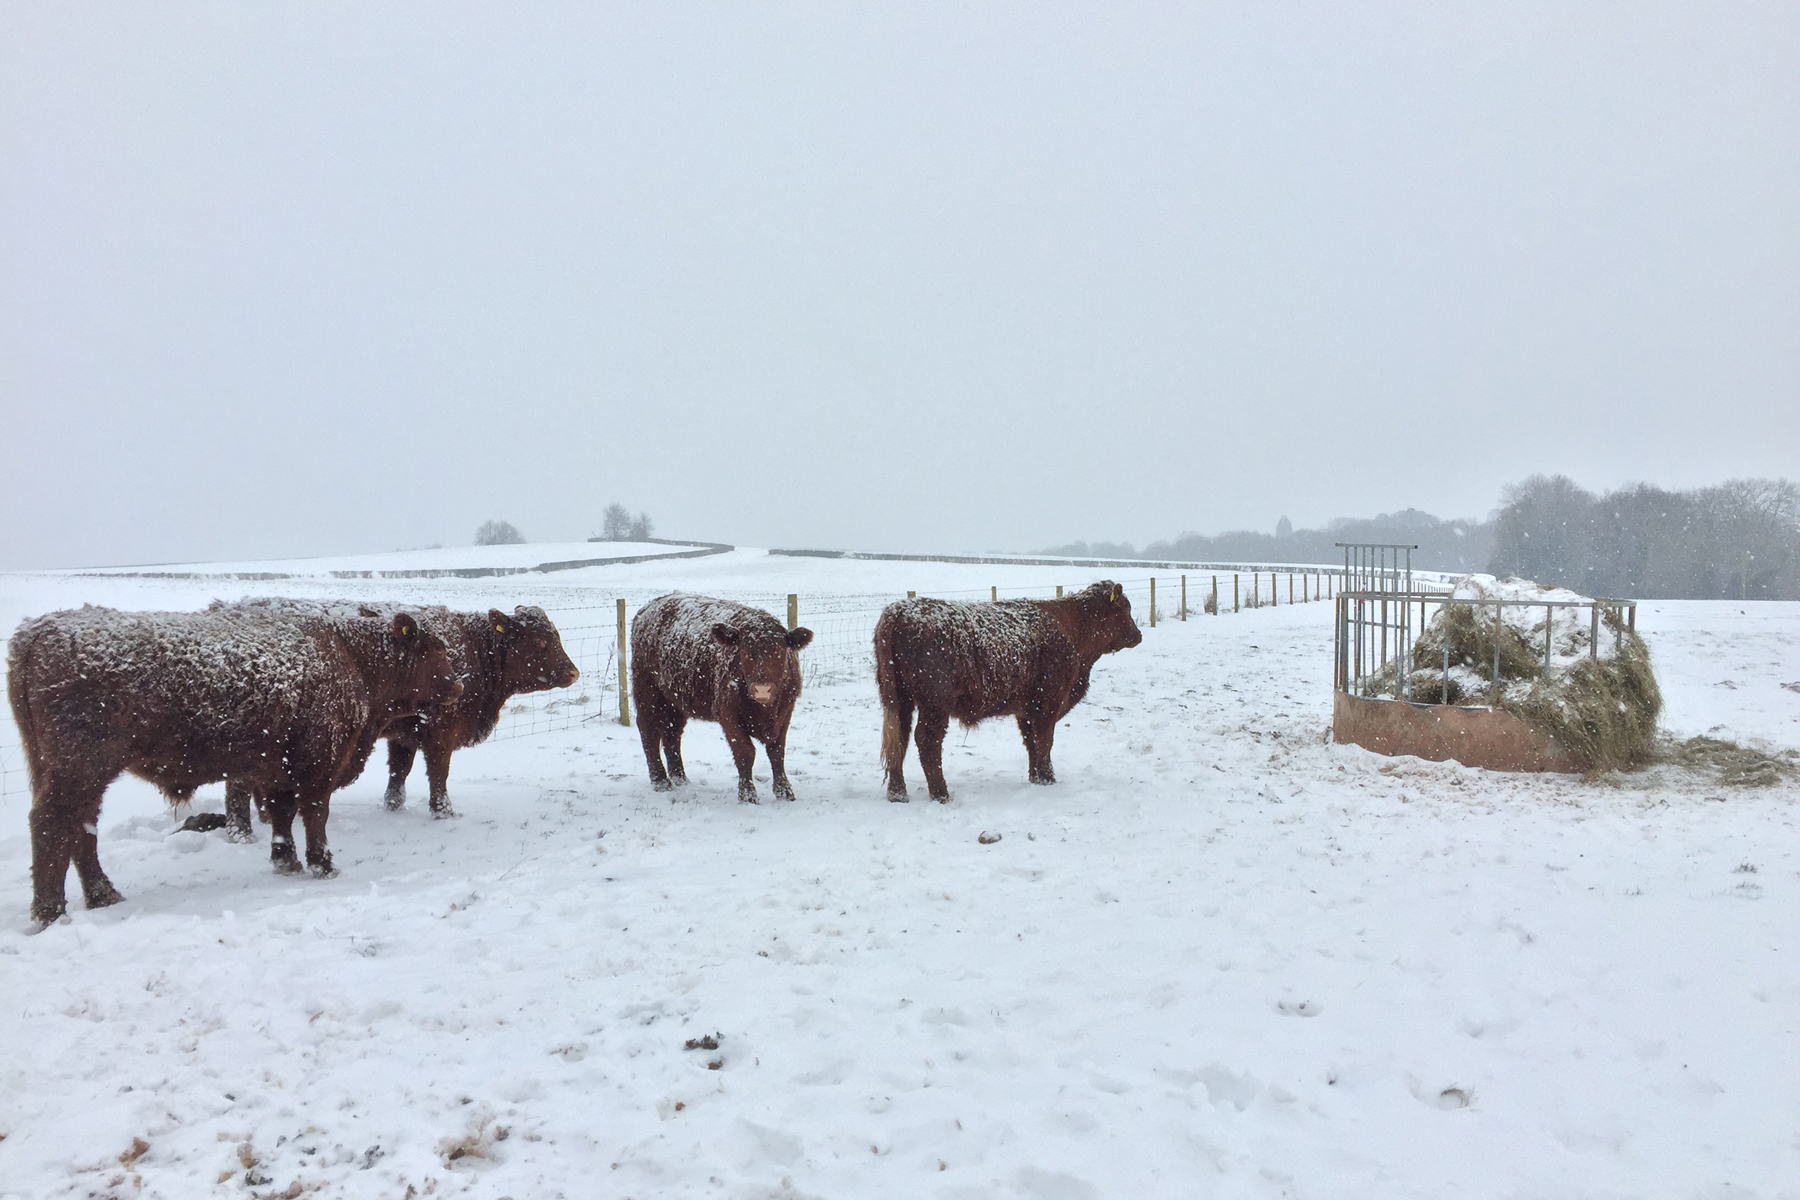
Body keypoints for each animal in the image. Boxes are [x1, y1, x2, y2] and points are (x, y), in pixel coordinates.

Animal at [7, 603, 460, 926]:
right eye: (435, 649)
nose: (458, 683)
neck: (351, 655)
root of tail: (34, 632)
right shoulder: (317, 766)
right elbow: (315, 814)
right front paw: (324, 865)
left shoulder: (277, 770)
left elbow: (283, 814)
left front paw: (285, 861)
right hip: (79, 770)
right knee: (51, 823)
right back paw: (51, 912)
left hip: (84, 775)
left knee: (81, 829)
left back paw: (104, 896)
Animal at [216, 602, 579, 833]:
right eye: (540, 642)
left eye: (556, 636)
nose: (573, 672)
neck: (473, 649)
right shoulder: (439, 733)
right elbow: (438, 773)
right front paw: (444, 812)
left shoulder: (404, 735)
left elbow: (399, 772)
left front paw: (393, 805)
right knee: (237, 784)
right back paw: (241, 831)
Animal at [630, 594, 813, 803]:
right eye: (744, 652)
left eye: (781, 652)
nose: (762, 689)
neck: (763, 711)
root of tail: (650, 607)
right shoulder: (728, 716)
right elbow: (745, 753)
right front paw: (747, 795)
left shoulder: (785, 712)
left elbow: (777, 751)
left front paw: (784, 791)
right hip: (648, 693)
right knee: (649, 730)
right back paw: (660, 781)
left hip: (676, 701)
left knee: (672, 733)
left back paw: (680, 777)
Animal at [873, 581, 1143, 801]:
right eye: (1124, 608)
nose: (1138, 635)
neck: (1072, 627)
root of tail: (900, 609)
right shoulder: (1047, 704)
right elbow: (1044, 742)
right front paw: (1048, 779)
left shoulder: (1027, 710)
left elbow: (1031, 743)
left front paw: (1036, 778)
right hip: (935, 704)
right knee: (927, 740)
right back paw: (941, 793)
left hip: (900, 701)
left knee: (899, 738)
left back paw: (897, 793)